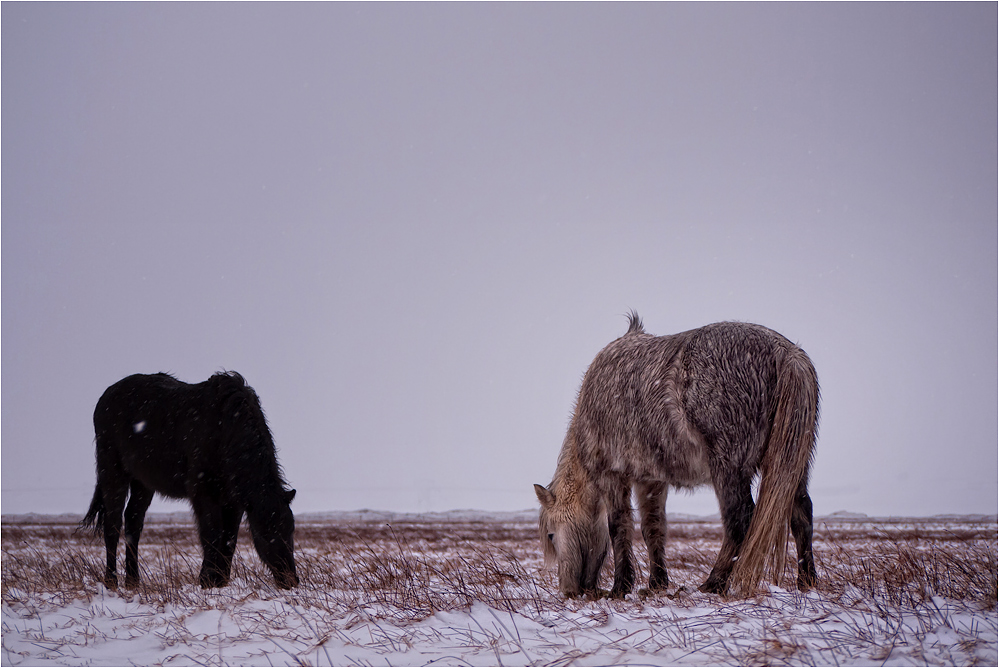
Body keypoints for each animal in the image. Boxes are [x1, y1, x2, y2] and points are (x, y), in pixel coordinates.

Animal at [80, 370, 298, 588]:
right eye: (266, 534)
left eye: (290, 530)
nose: (290, 580)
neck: (224, 427)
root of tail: (107, 395)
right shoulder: (202, 493)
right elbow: (211, 534)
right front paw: (208, 580)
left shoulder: (233, 502)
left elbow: (229, 539)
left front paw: (221, 580)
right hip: (112, 473)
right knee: (113, 524)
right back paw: (111, 580)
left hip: (143, 483)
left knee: (134, 521)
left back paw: (133, 581)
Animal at [540, 314, 820, 600]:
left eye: (551, 535)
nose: (569, 590)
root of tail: (786, 353)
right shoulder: (651, 480)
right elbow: (653, 528)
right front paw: (656, 583)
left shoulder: (612, 475)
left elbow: (619, 526)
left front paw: (620, 587)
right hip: (793, 468)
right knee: (801, 514)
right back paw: (806, 582)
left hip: (729, 469)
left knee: (739, 521)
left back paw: (713, 583)